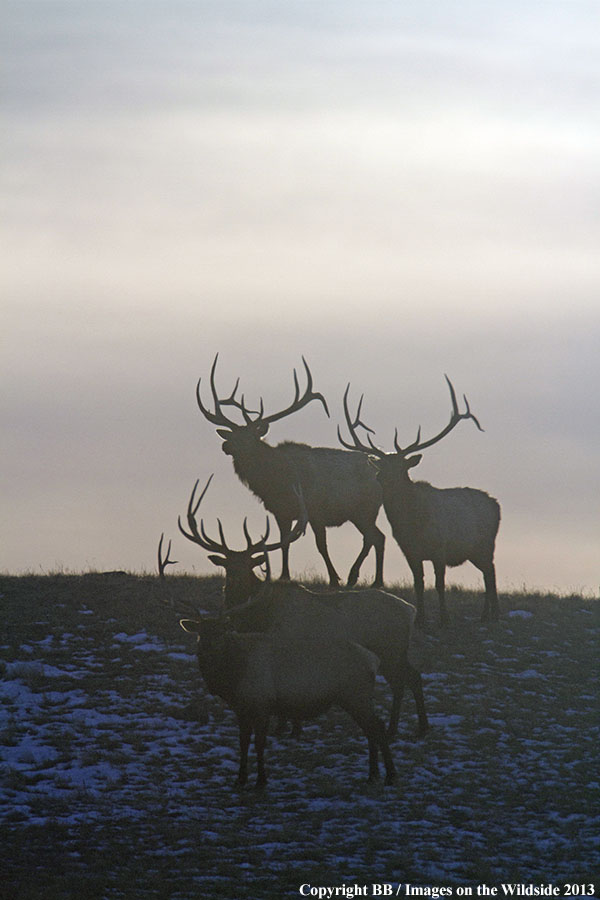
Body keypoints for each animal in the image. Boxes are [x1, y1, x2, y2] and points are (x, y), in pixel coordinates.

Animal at [178, 476, 429, 739]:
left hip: (390, 649)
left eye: (249, 564)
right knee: (413, 676)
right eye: (228, 565)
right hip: (396, 651)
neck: (259, 617)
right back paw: (419, 727)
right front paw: (292, 728)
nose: (234, 583)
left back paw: (396, 729)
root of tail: (410, 611)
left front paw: (285, 728)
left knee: (401, 681)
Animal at [194, 355, 385, 588]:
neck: (276, 481)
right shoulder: (280, 512)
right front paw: (285, 576)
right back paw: (374, 580)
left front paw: (333, 579)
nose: (226, 446)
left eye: (249, 437)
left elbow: (321, 545)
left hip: (365, 509)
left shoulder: (315, 510)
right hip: (361, 513)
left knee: (373, 538)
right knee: (378, 537)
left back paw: (356, 577)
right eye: (232, 435)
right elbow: (284, 543)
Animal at [338, 377, 501, 628]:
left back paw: (493, 614)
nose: (385, 482)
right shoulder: (410, 551)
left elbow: (439, 584)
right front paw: (421, 619)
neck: (414, 525)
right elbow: (419, 584)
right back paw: (487, 614)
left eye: (401, 470)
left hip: (485, 544)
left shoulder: (440, 547)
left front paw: (444, 618)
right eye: (379, 473)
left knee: (491, 573)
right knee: (487, 573)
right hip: (474, 550)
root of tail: (496, 504)